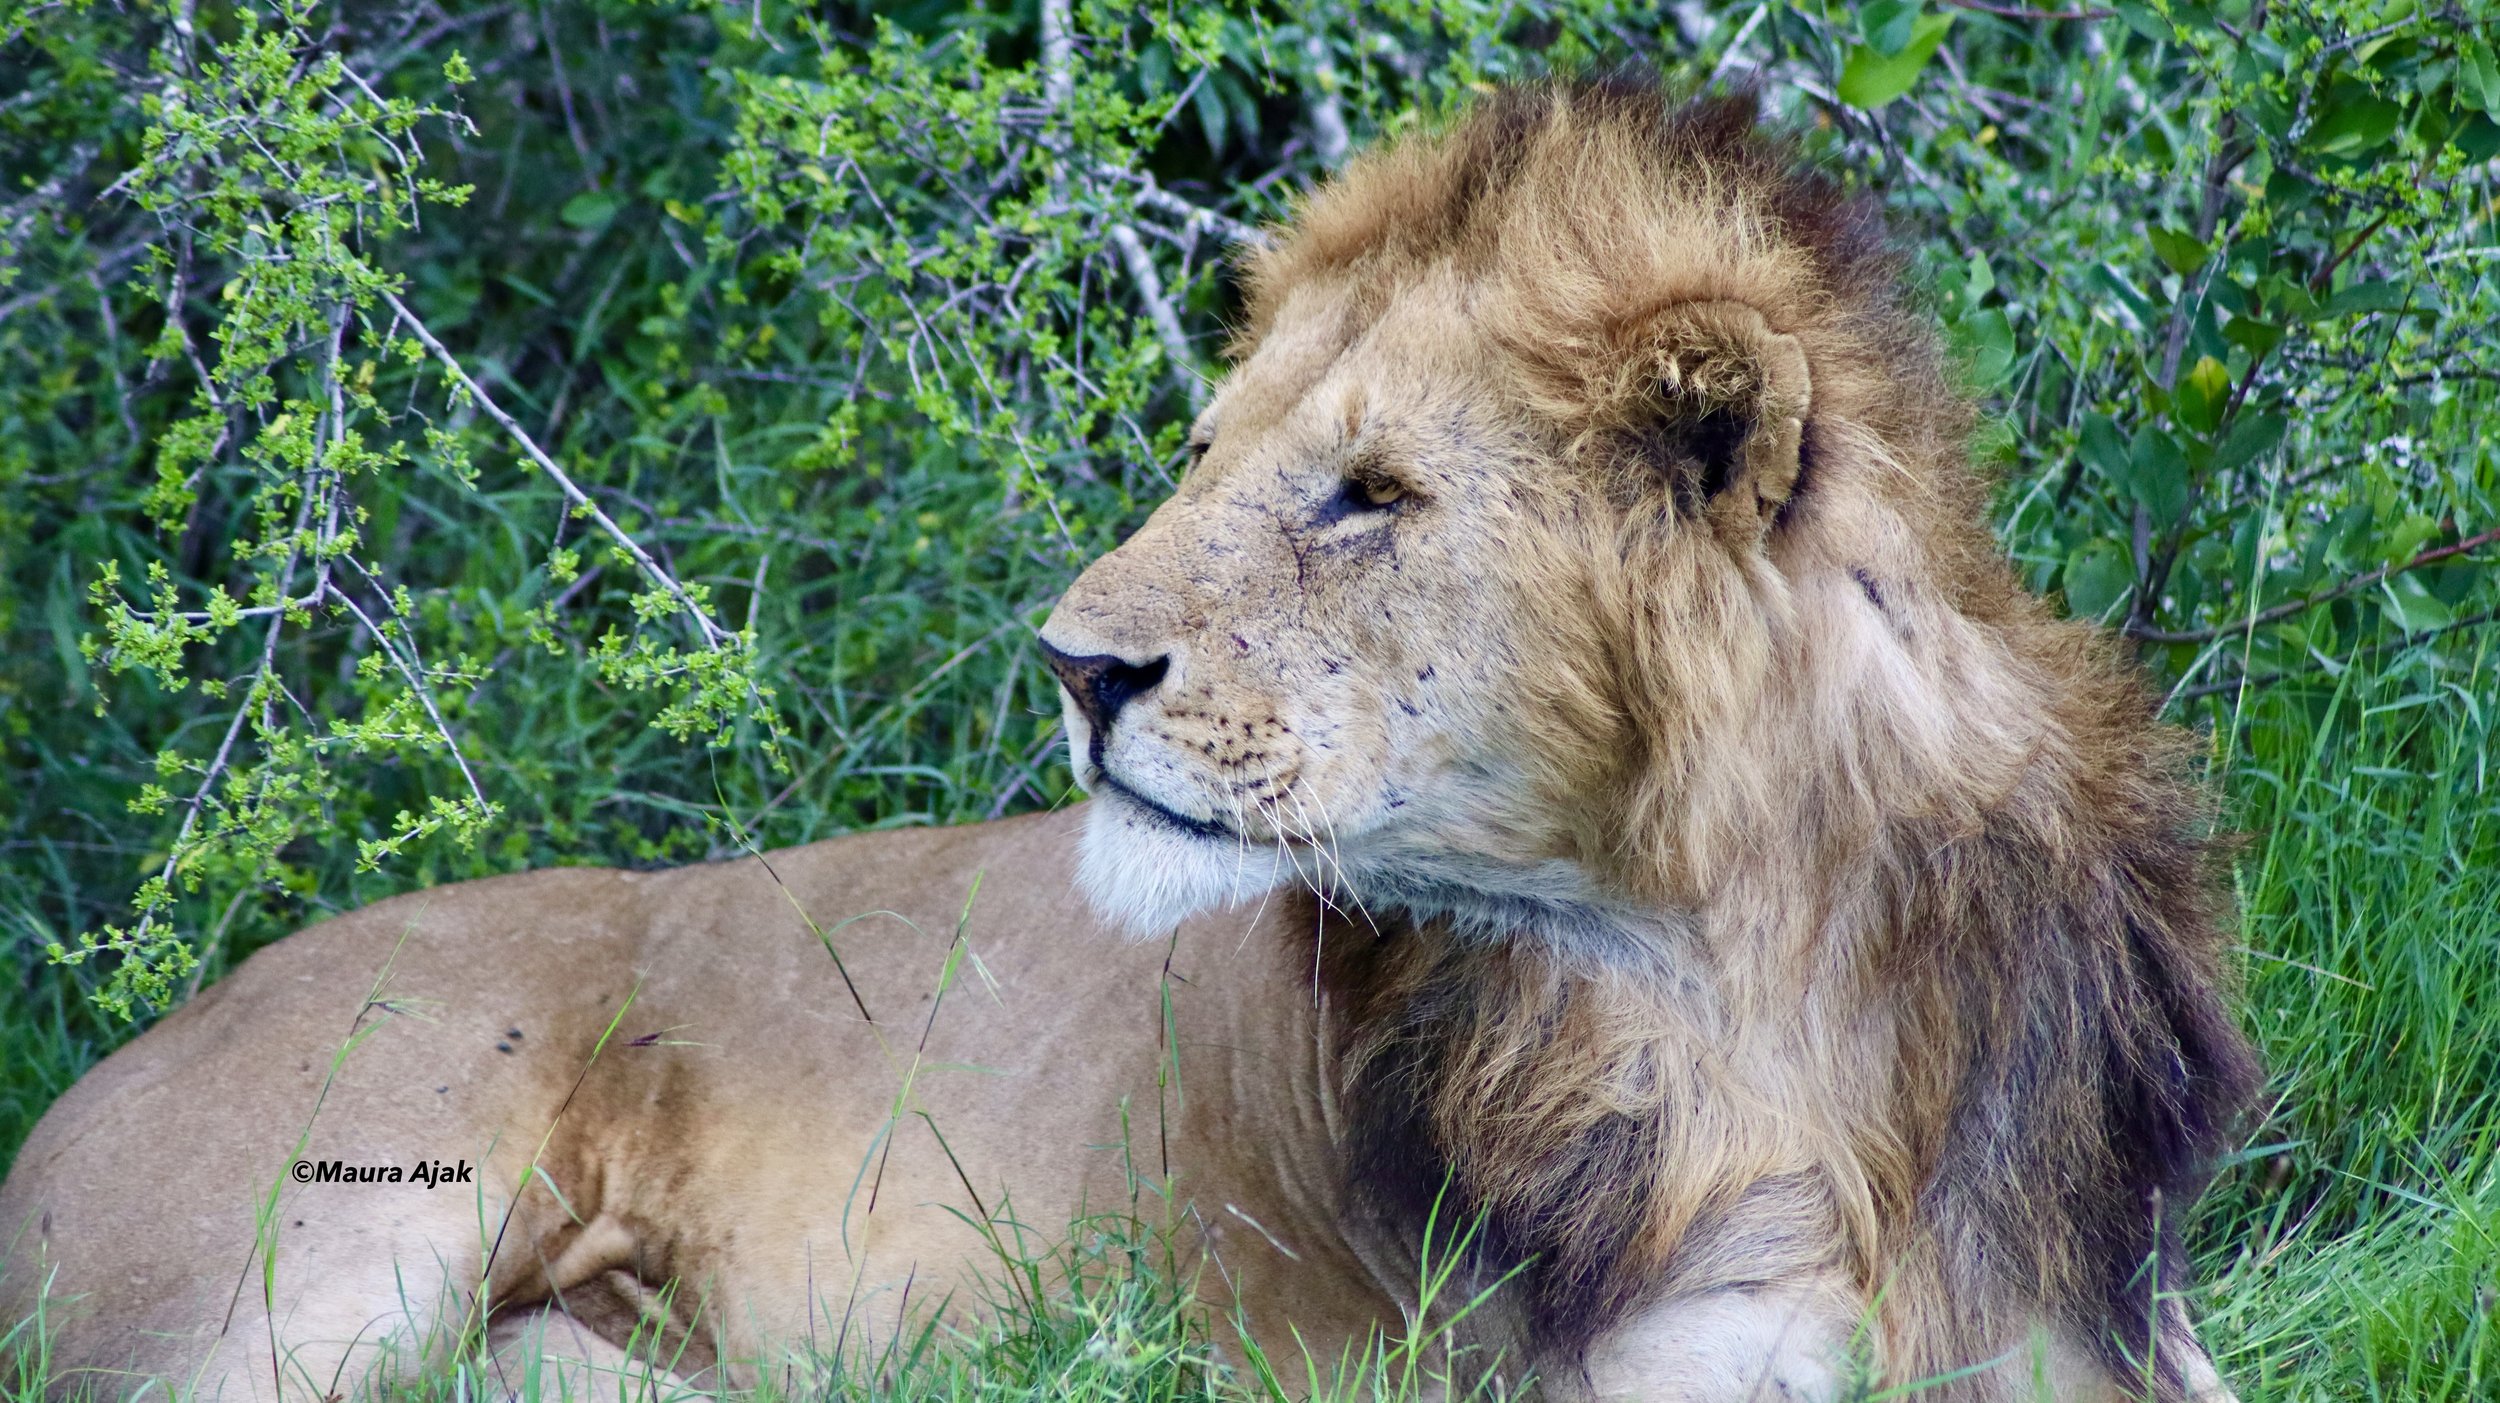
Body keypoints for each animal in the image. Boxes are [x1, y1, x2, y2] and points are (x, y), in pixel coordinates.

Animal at [1, 81, 2258, 1402]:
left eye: (1365, 496)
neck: (1749, 961)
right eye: (1207, 456)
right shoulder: (1592, 1363)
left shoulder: (2103, 1322)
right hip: (326, 1245)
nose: (1075, 665)